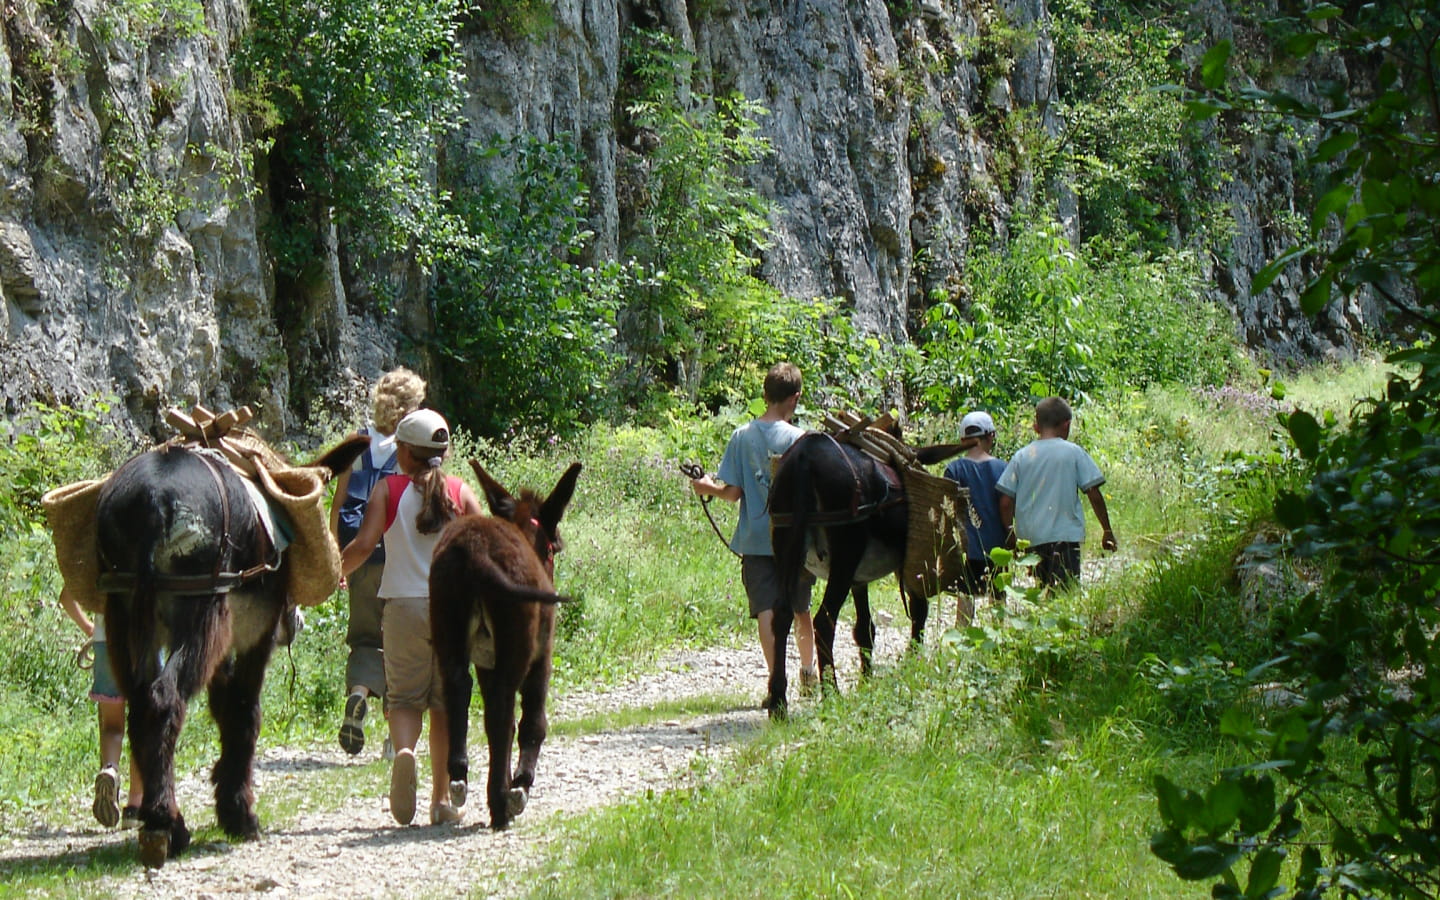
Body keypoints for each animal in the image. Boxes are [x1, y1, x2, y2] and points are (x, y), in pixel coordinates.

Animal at [429, 460, 581, 823]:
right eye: (553, 549)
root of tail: (476, 552)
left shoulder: (486, 659)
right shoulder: (541, 656)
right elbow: (532, 721)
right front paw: (520, 784)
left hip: (447, 626)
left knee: (458, 688)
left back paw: (459, 777)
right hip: (518, 643)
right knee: (503, 713)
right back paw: (502, 803)